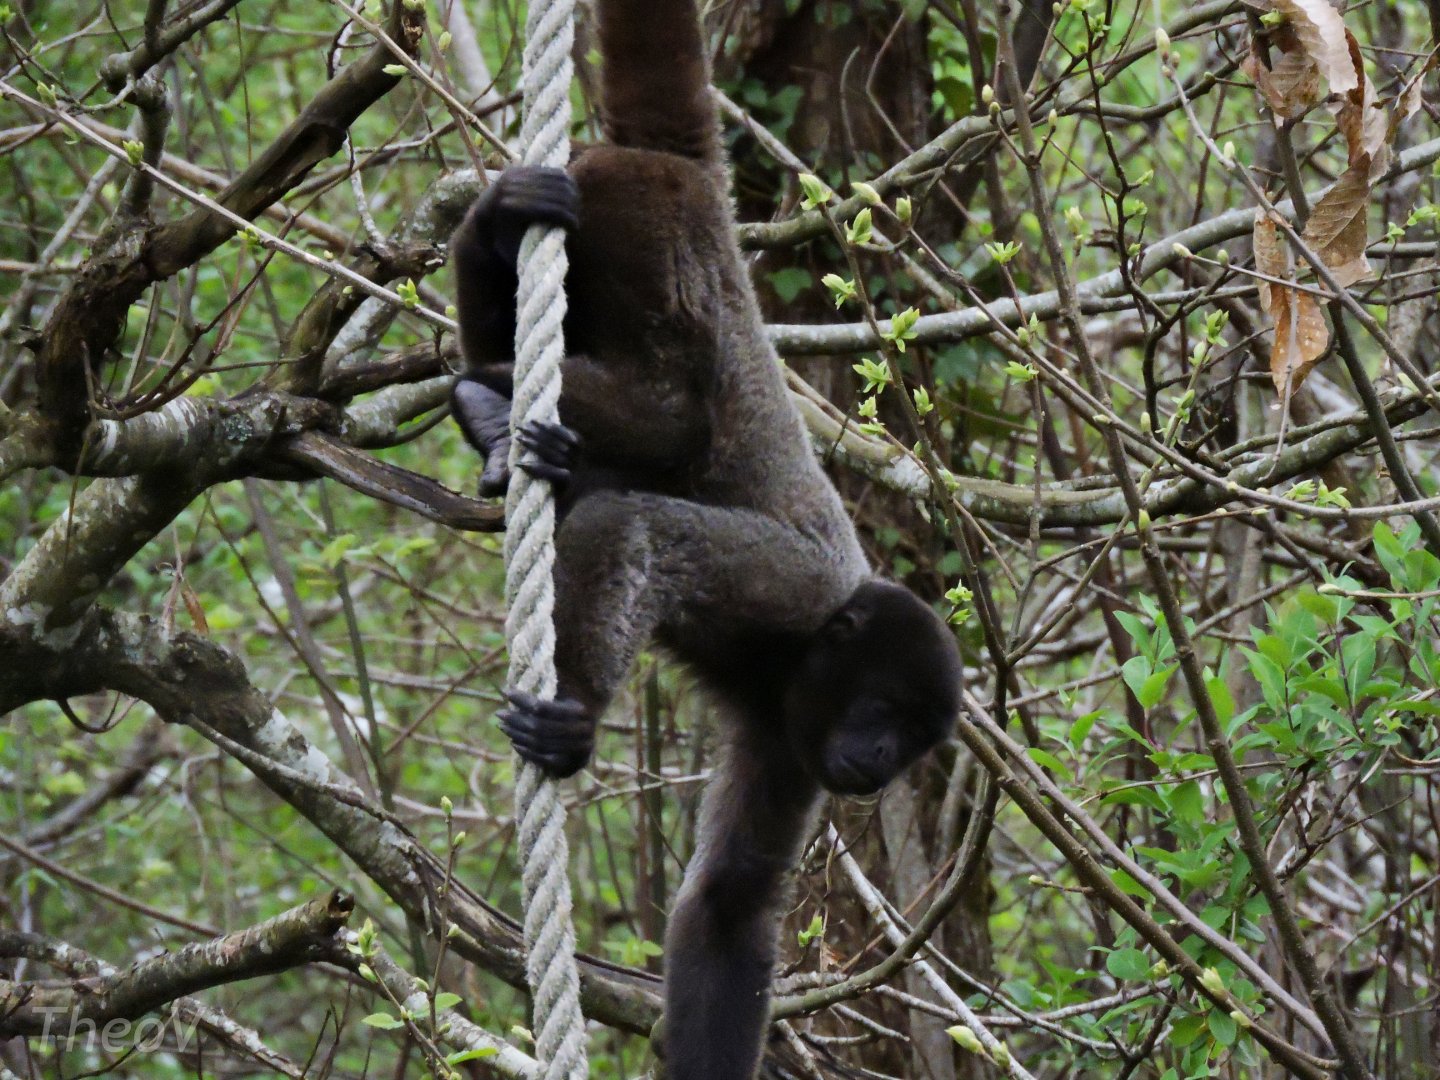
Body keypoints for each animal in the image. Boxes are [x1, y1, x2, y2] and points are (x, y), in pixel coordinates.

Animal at [448, 1, 963, 1076]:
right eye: (885, 712)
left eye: (909, 744)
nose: (875, 763)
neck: (800, 661)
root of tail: (697, 187)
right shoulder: (797, 590)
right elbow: (637, 525)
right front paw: (573, 717)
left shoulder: (791, 742)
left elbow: (726, 910)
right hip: (650, 224)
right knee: (675, 405)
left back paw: (491, 330)